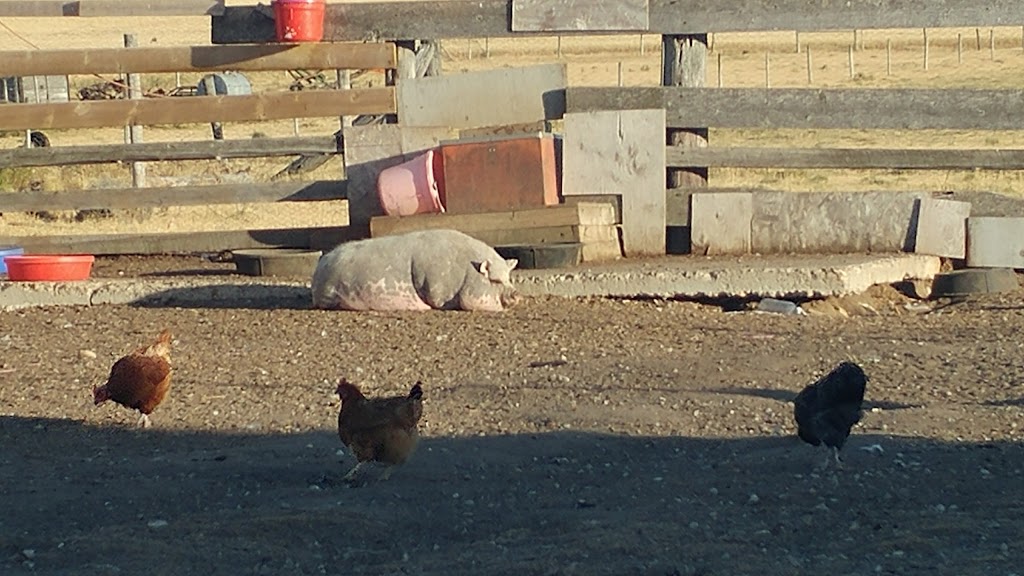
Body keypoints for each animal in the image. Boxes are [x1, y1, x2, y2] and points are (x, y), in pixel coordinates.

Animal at [309, 227, 520, 309]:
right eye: (495, 279)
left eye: (509, 278)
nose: (516, 293)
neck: (466, 271)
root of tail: (321, 262)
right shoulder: (436, 287)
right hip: (328, 294)